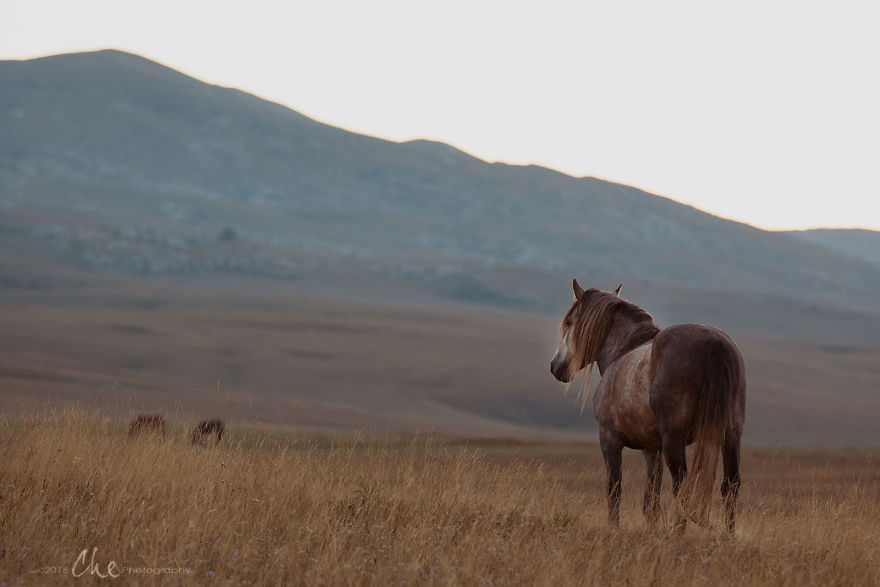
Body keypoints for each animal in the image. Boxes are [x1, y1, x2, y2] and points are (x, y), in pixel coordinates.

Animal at [550, 279, 746, 532]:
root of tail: (715, 344)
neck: (622, 351)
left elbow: (614, 490)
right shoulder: (652, 449)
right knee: (730, 485)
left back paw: (678, 532)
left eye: (569, 322)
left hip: (675, 440)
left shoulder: (609, 439)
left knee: (681, 487)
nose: (555, 366)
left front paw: (614, 528)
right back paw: (727, 535)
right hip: (731, 435)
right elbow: (650, 501)